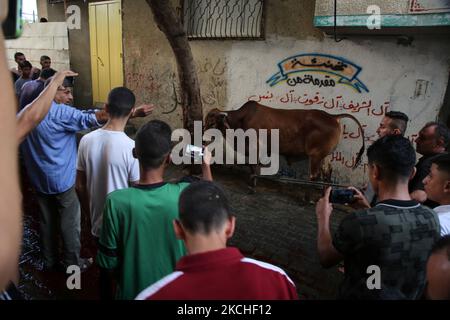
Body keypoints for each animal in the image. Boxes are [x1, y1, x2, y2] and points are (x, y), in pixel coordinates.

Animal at [204, 100, 366, 180]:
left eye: (212, 124)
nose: (204, 141)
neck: (241, 119)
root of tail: (333, 117)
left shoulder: (255, 147)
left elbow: (253, 165)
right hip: (325, 156)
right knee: (327, 172)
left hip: (315, 156)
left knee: (314, 176)